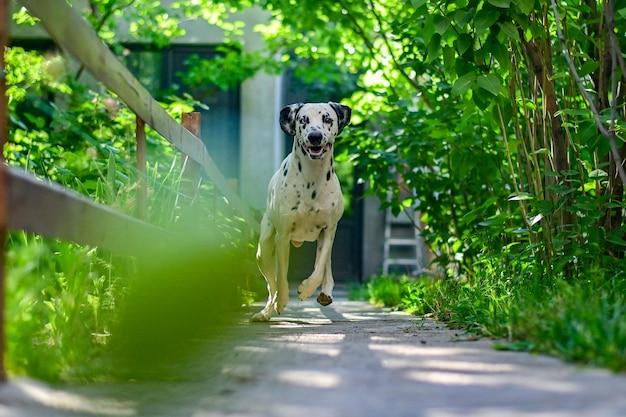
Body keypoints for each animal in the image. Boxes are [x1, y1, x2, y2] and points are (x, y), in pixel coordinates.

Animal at [252, 101, 352, 322]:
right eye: (303, 120)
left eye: (327, 118)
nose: (315, 136)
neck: (311, 180)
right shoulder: (282, 237)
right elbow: (281, 278)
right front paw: (282, 301)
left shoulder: (328, 231)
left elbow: (319, 268)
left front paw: (307, 289)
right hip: (264, 250)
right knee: (271, 286)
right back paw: (266, 311)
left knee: (326, 265)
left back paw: (326, 292)